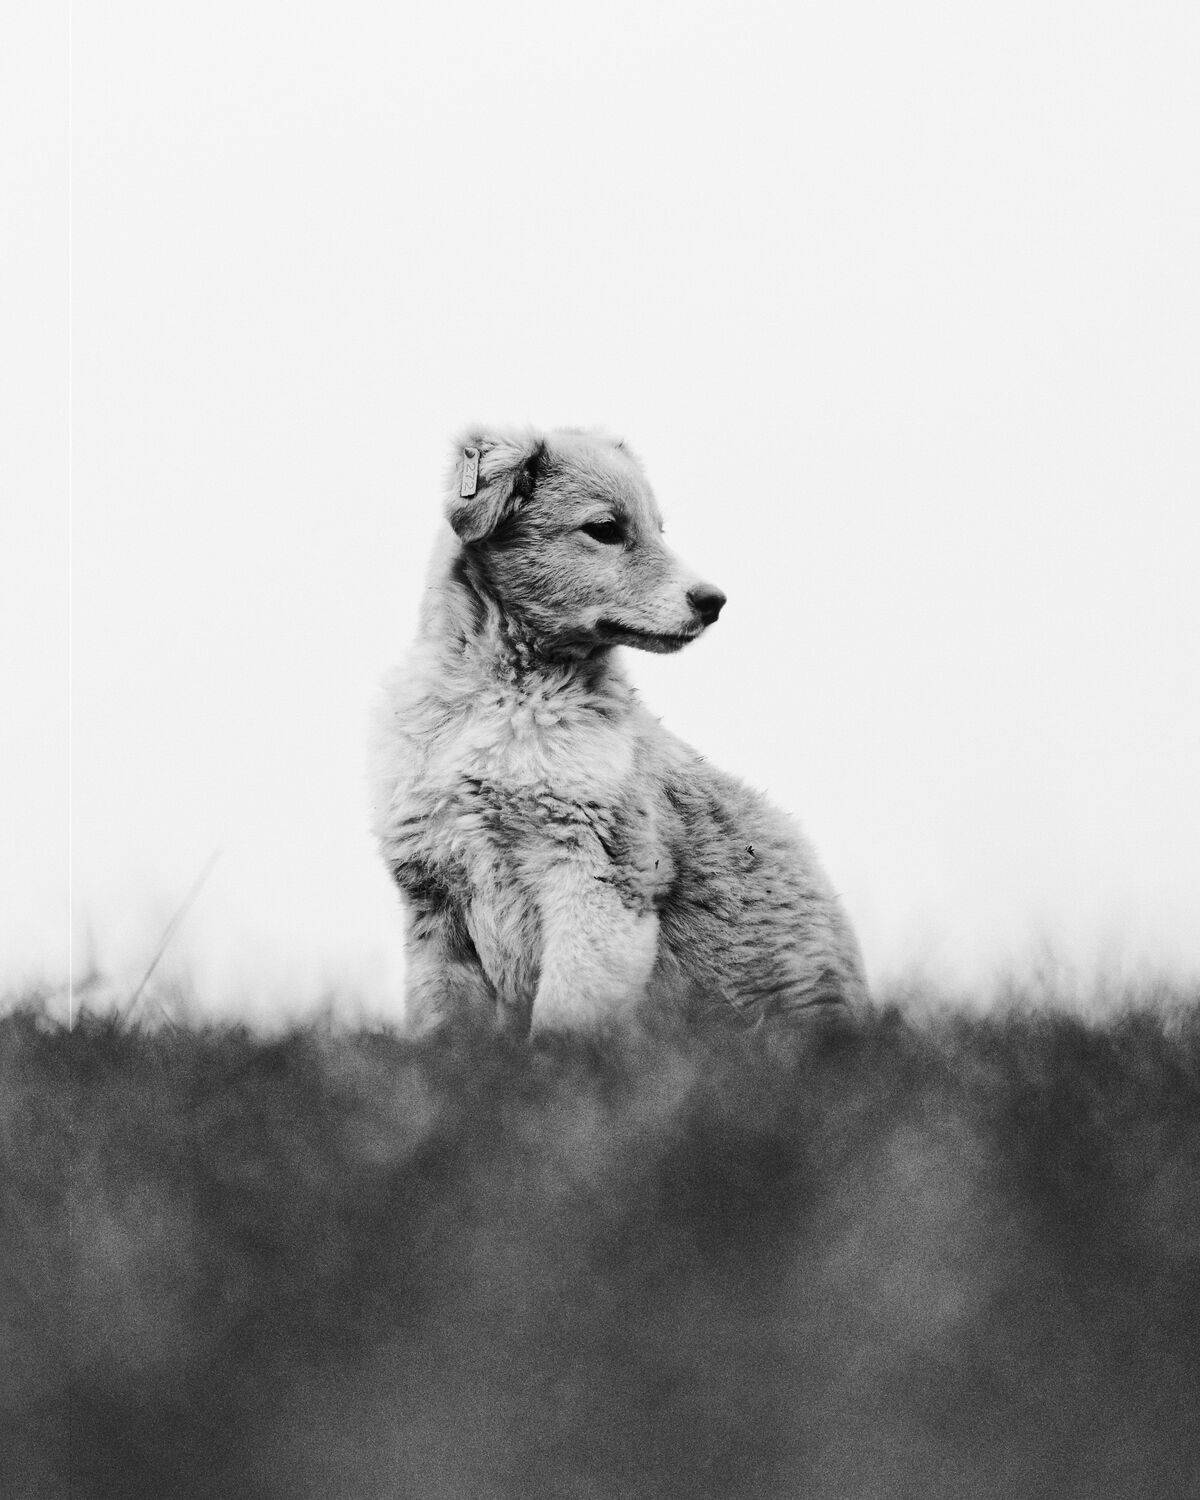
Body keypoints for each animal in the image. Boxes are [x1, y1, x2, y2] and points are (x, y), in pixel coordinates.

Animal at [371, 426, 867, 1034]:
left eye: (659, 529)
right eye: (605, 529)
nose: (714, 601)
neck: (503, 699)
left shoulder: (601, 879)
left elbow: (563, 1018)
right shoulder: (434, 903)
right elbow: (442, 1028)